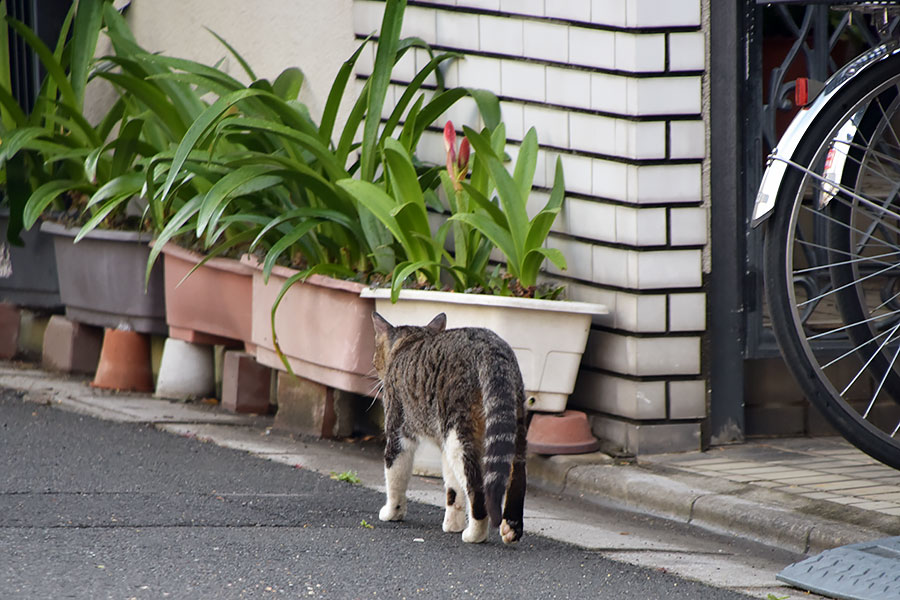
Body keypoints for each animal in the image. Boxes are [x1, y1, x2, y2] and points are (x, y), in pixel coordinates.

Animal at [370, 312, 528, 548]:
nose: (374, 365)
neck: (410, 343)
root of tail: (489, 347)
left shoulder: (398, 429)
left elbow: (395, 475)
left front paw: (392, 512)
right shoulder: (444, 446)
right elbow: (453, 488)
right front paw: (453, 524)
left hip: (458, 432)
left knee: (477, 488)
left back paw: (475, 534)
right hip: (513, 420)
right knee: (517, 472)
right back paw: (511, 527)